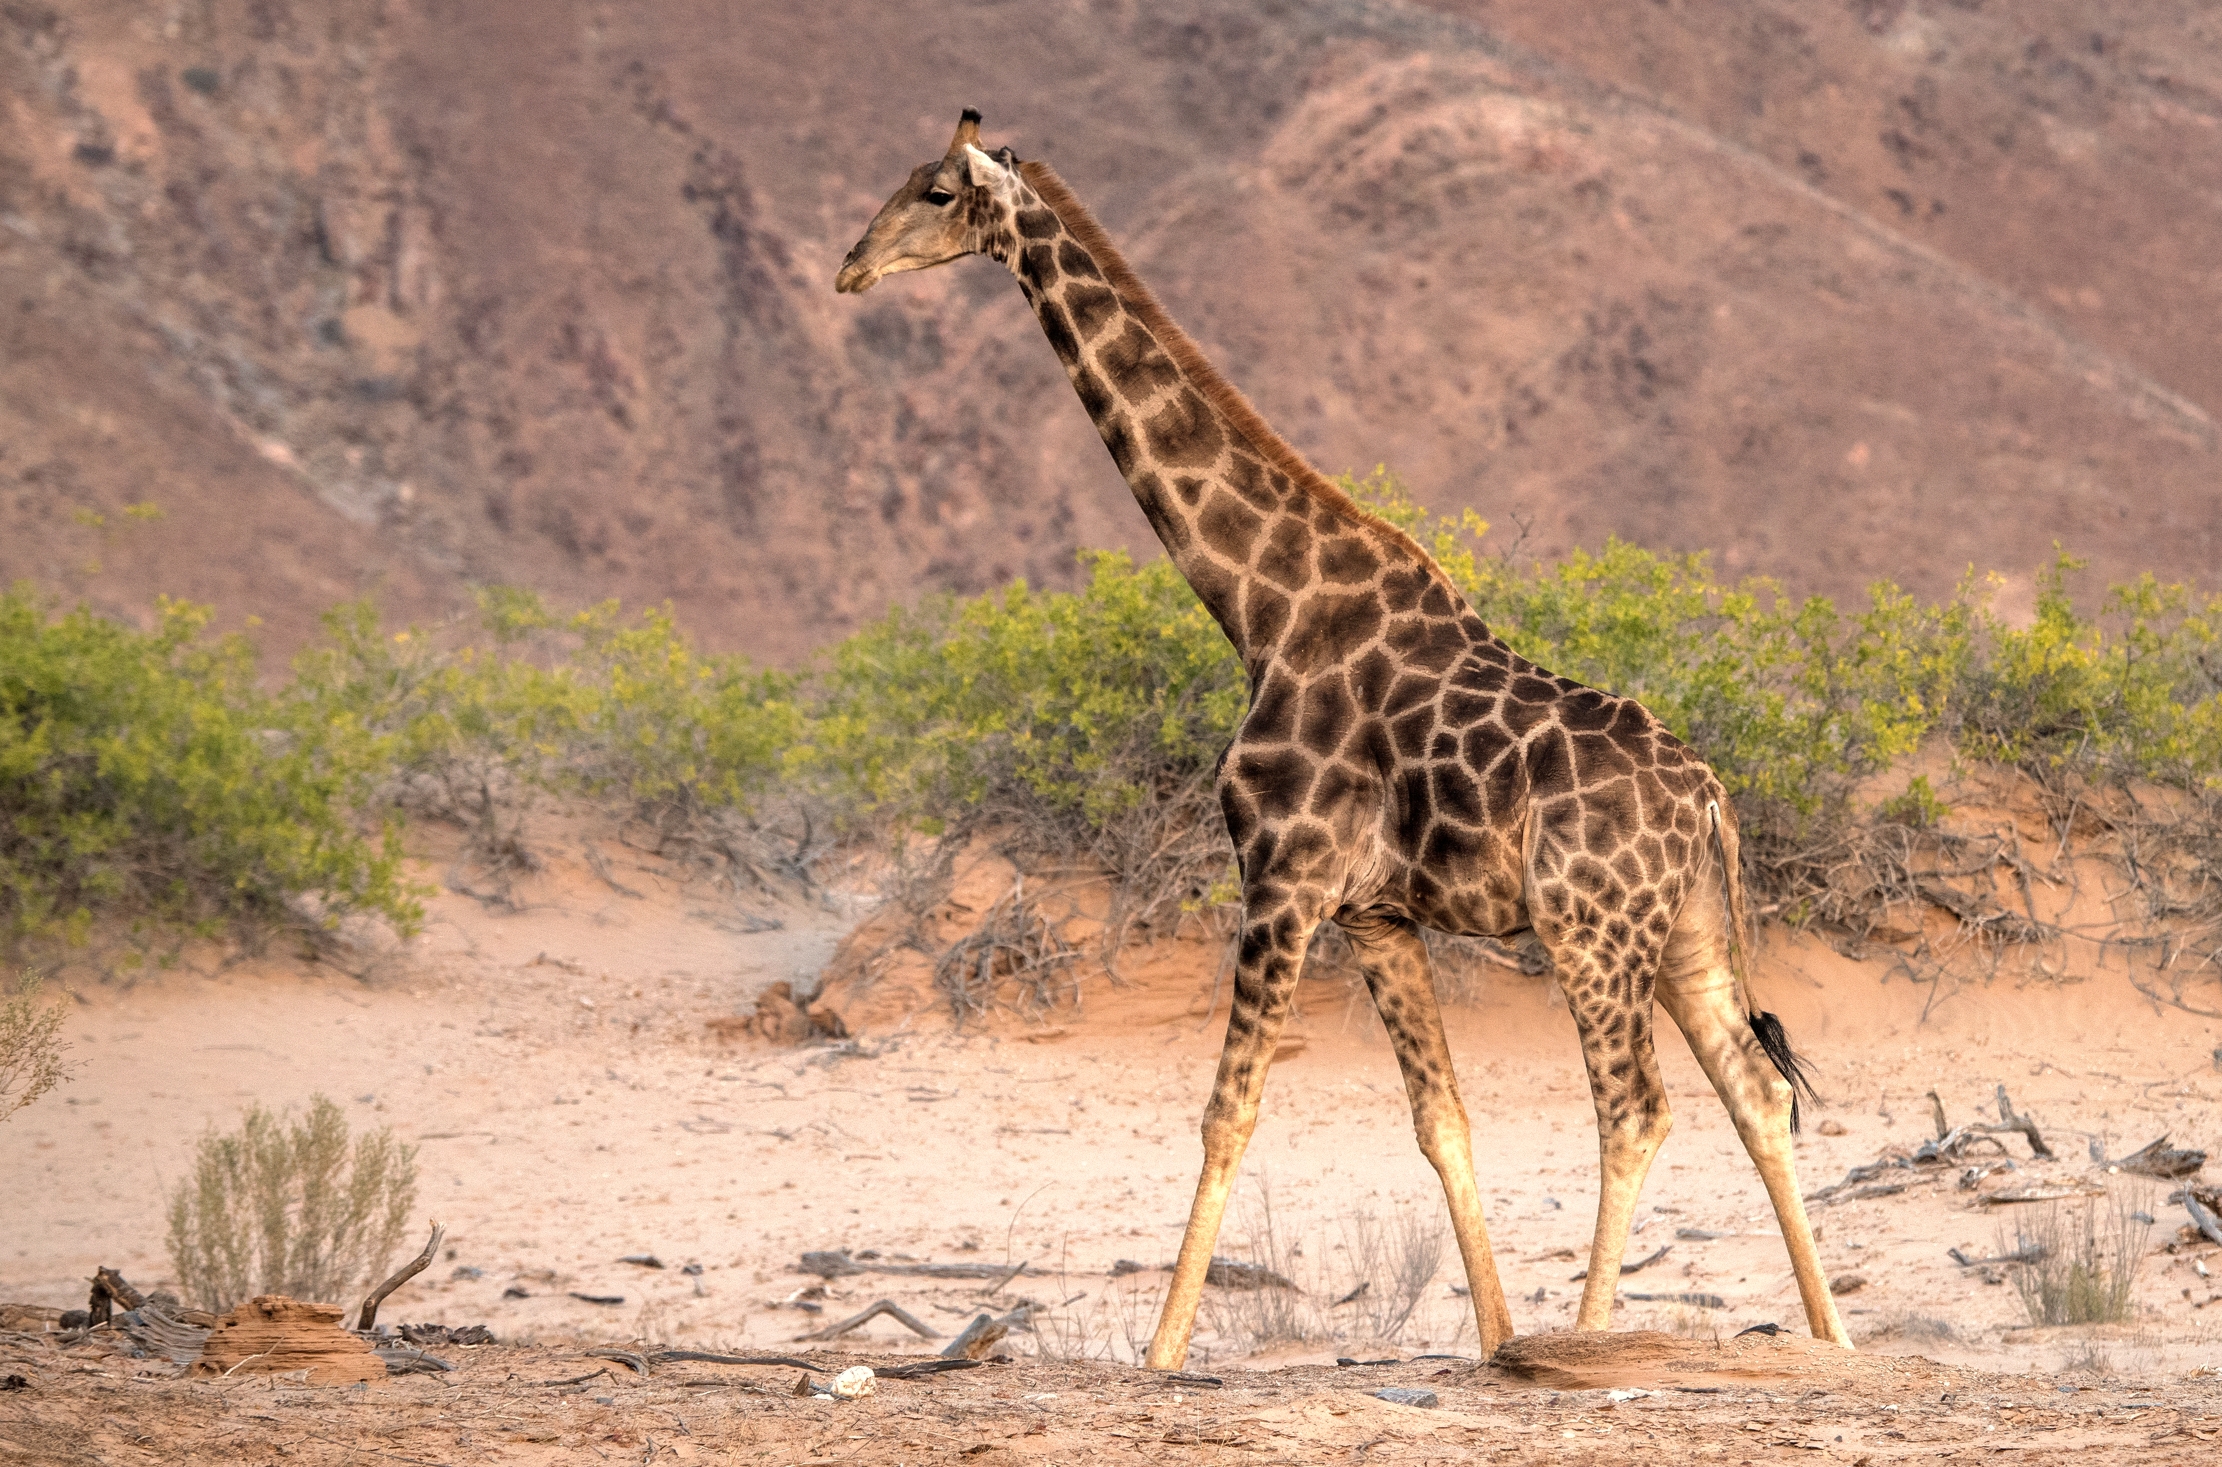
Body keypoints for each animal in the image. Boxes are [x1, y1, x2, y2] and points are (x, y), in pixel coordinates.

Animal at [836, 111, 1852, 1368]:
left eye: (932, 193)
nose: (850, 267)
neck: (1258, 606)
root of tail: (1705, 795)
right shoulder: (1374, 912)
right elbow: (1439, 1121)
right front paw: (1491, 1340)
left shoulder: (1281, 875)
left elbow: (1228, 1111)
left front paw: (1160, 1358)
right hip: (1685, 934)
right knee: (1755, 1092)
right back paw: (1828, 1343)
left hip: (1590, 932)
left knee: (1634, 1110)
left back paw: (1589, 1341)